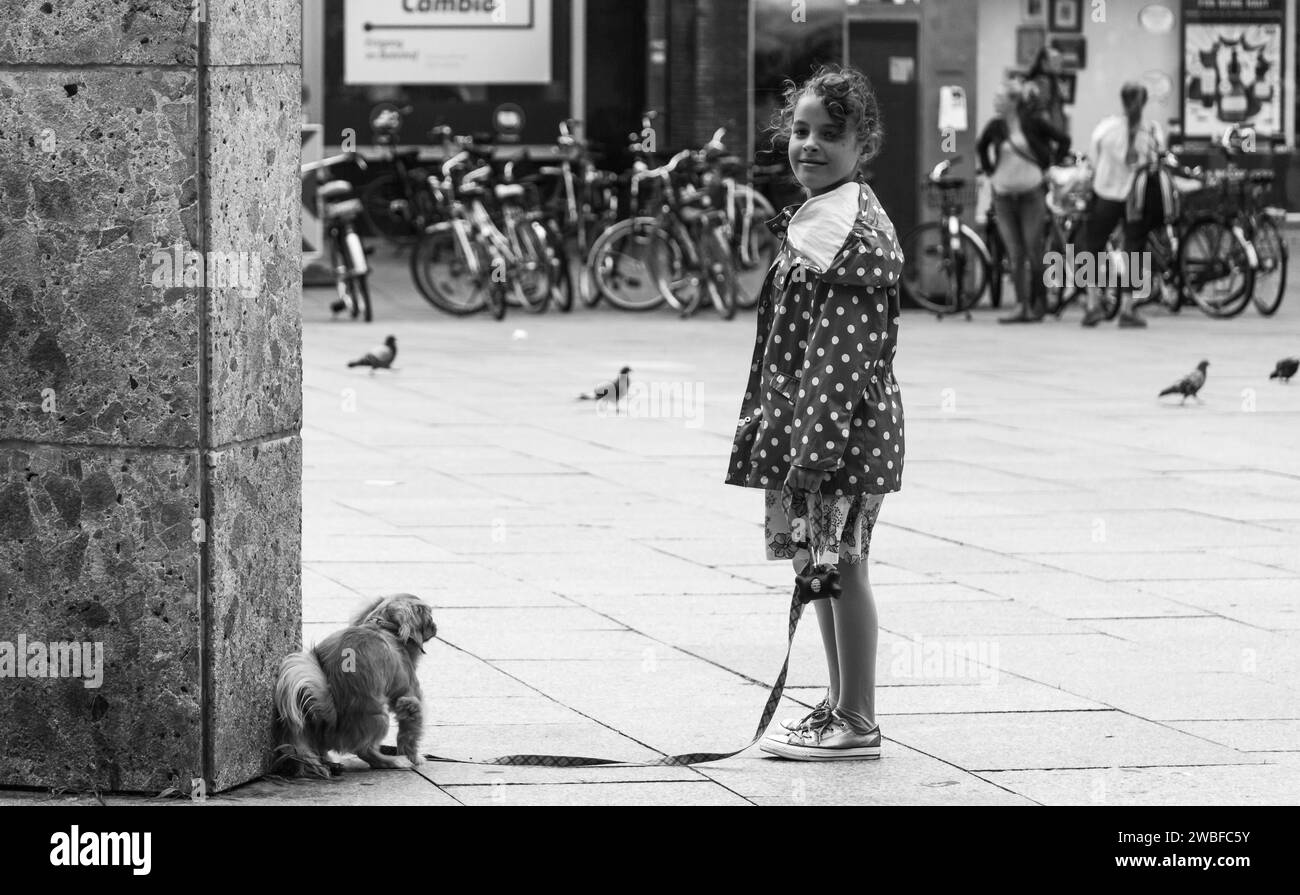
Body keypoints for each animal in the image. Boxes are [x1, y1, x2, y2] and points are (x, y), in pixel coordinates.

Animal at [273, 593, 436, 775]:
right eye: (430, 616)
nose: (435, 626)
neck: (386, 628)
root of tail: (333, 721)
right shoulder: (410, 700)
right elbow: (409, 736)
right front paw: (414, 758)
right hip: (380, 716)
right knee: (366, 751)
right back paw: (392, 761)